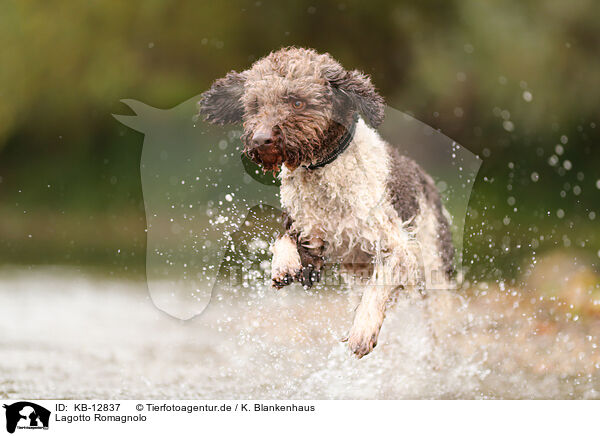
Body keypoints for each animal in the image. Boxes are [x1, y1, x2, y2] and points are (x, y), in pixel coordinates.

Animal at [199, 46, 452, 358]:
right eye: (255, 105)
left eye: (297, 102)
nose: (260, 140)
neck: (323, 171)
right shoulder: (311, 238)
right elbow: (285, 239)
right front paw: (283, 264)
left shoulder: (399, 247)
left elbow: (380, 283)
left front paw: (362, 331)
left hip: (435, 272)